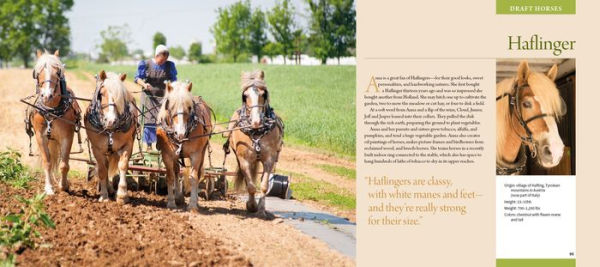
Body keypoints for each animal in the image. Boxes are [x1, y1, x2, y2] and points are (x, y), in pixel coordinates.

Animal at [29, 50, 81, 196]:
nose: (47, 95)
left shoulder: (67, 137)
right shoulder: (40, 136)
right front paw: (49, 188)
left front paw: (64, 186)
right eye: (37, 72)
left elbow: (64, 164)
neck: (51, 110)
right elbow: (47, 162)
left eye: (58, 72)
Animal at [84, 71, 138, 203]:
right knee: (106, 166)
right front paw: (104, 195)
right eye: (101, 94)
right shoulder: (97, 149)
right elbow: (102, 170)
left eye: (121, 97)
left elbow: (123, 166)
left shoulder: (127, 144)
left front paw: (122, 195)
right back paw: (108, 189)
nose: (111, 121)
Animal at [155, 80, 213, 213]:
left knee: (198, 174)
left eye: (189, 107)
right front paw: (171, 203)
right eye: (170, 107)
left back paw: (195, 201)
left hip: (202, 151)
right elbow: (170, 177)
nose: (180, 133)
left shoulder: (196, 155)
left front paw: (192, 205)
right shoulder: (167, 154)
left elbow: (193, 177)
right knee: (177, 171)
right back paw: (178, 198)